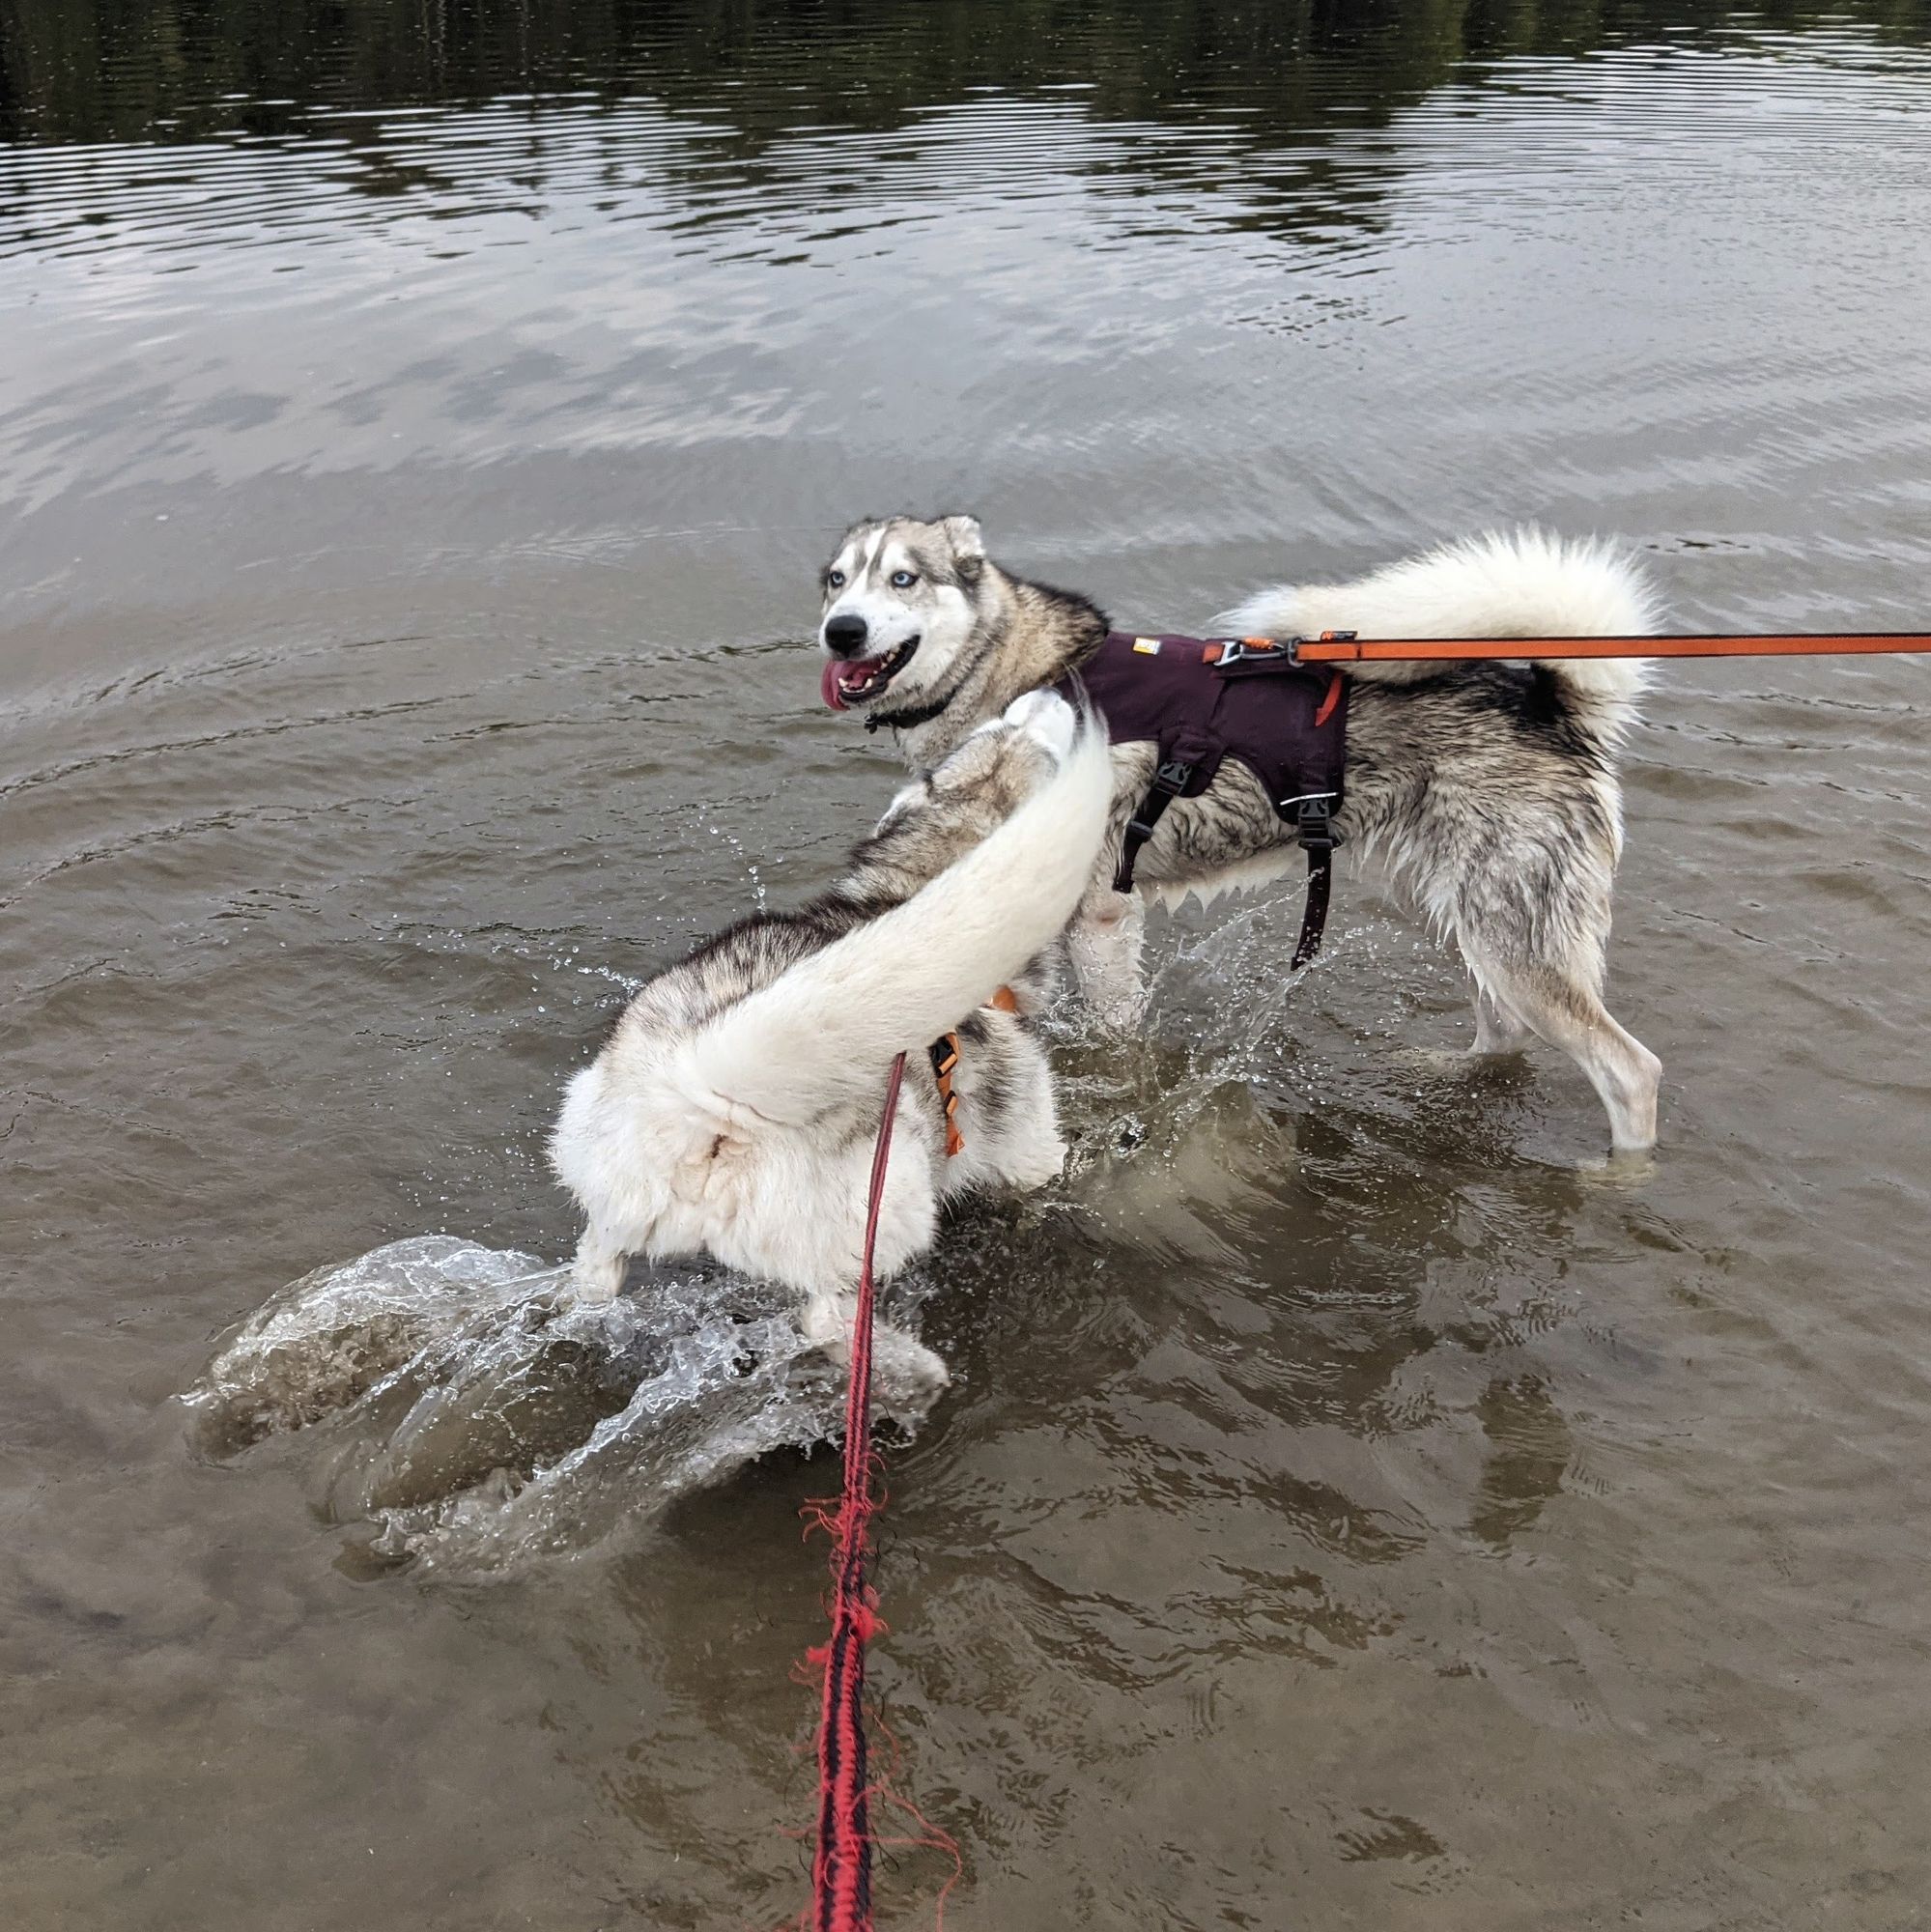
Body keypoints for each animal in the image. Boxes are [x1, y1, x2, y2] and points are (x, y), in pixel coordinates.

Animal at [552, 696, 1112, 1391]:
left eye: (972, 743)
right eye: (1039, 748)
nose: (1047, 698)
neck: (906, 891)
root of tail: (704, 1090)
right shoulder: (1029, 1144)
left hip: (610, 1183)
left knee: (595, 1268)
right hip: (887, 1209)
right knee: (823, 1318)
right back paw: (909, 1366)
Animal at [810, 518, 1661, 1144]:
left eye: (903, 578)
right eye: (836, 579)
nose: (841, 631)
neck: (1032, 674)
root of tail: (1548, 704)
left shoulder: (1101, 914)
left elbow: (1112, 1038)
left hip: (1510, 936)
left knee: (1630, 1071)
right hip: (1459, 917)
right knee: (1504, 1027)